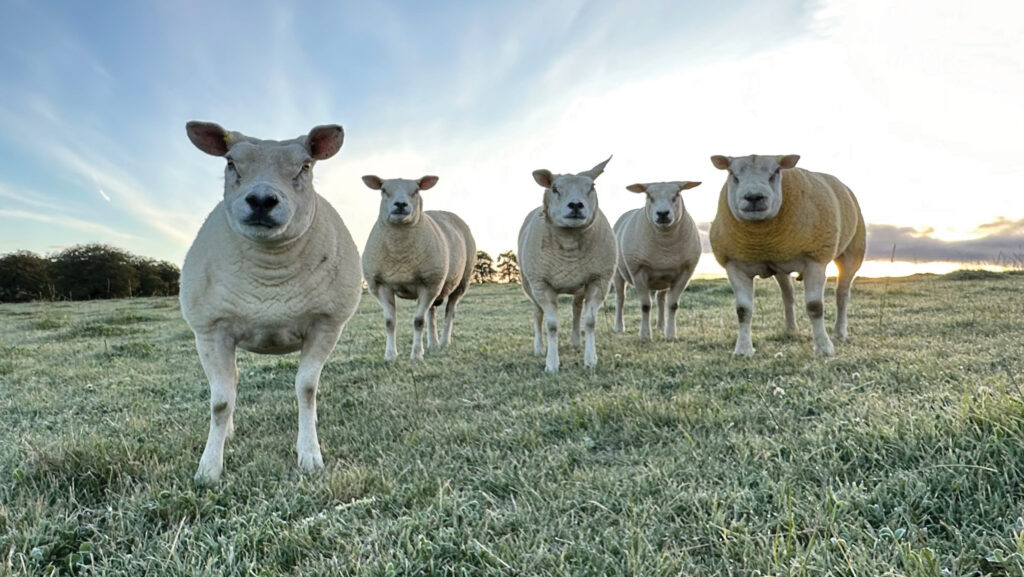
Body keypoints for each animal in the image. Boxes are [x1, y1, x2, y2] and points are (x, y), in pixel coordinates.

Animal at [181, 121, 364, 483]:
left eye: (305, 166)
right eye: (231, 163)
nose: (262, 200)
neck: (270, 274)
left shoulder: (326, 324)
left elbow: (307, 389)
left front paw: (310, 455)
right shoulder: (210, 330)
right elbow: (220, 402)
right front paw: (209, 468)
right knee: (231, 382)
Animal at [362, 176, 477, 360]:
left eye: (416, 191)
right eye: (384, 190)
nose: (401, 204)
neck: (400, 255)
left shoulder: (428, 285)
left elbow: (418, 321)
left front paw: (416, 355)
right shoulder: (381, 285)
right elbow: (389, 322)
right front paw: (390, 356)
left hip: (460, 282)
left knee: (449, 311)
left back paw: (444, 342)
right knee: (432, 313)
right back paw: (432, 344)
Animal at [520, 156, 614, 375]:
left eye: (592, 187)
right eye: (554, 188)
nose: (576, 205)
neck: (570, 243)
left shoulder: (599, 280)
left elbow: (590, 321)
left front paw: (590, 360)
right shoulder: (541, 284)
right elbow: (551, 325)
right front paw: (552, 364)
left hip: (580, 284)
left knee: (576, 309)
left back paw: (576, 341)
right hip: (530, 286)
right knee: (537, 314)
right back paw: (539, 348)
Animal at [610, 180, 700, 338]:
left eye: (677, 194)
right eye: (649, 196)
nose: (662, 213)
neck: (665, 247)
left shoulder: (685, 272)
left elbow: (673, 305)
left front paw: (671, 335)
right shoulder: (638, 270)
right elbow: (645, 305)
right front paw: (645, 335)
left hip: (664, 279)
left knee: (660, 298)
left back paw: (661, 326)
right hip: (618, 274)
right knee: (620, 298)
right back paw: (619, 327)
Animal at [708, 153, 868, 356]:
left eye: (776, 172)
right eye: (732, 174)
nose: (754, 197)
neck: (761, 239)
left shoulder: (815, 261)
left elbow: (815, 307)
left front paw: (823, 348)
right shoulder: (734, 265)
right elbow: (743, 310)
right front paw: (743, 349)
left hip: (852, 253)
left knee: (842, 295)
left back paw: (840, 333)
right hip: (780, 265)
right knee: (788, 295)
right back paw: (791, 330)